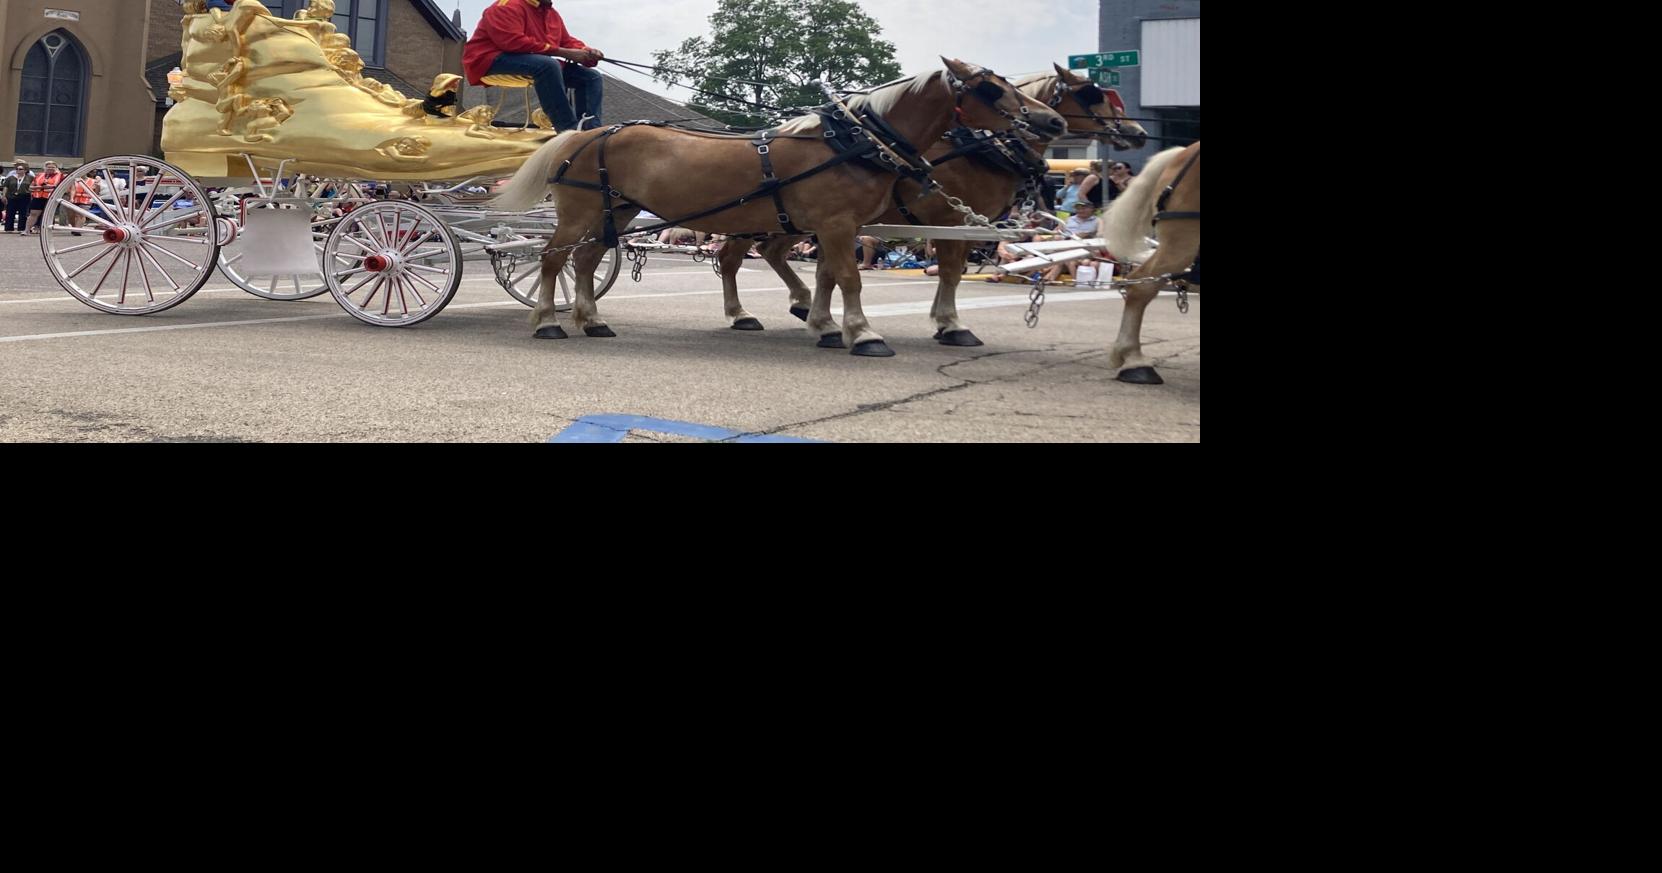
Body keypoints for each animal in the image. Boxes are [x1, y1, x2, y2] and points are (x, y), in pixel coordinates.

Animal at [491, 59, 1063, 355]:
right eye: (992, 88)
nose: (1051, 122)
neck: (853, 142)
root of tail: (583, 132)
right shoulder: (839, 224)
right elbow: (850, 278)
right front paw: (864, 333)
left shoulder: (837, 227)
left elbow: (831, 275)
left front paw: (828, 326)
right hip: (582, 212)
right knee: (552, 259)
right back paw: (547, 322)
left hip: (619, 211)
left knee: (586, 261)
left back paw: (591, 320)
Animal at [708, 64, 1150, 345]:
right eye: (1092, 95)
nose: (1138, 132)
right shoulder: (951, 219)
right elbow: (950, 273)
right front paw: (950, 324)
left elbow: (832, 273)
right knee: (733, 257)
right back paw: (741, 313)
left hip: (790, 219)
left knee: (768, 251)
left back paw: (791, 303)